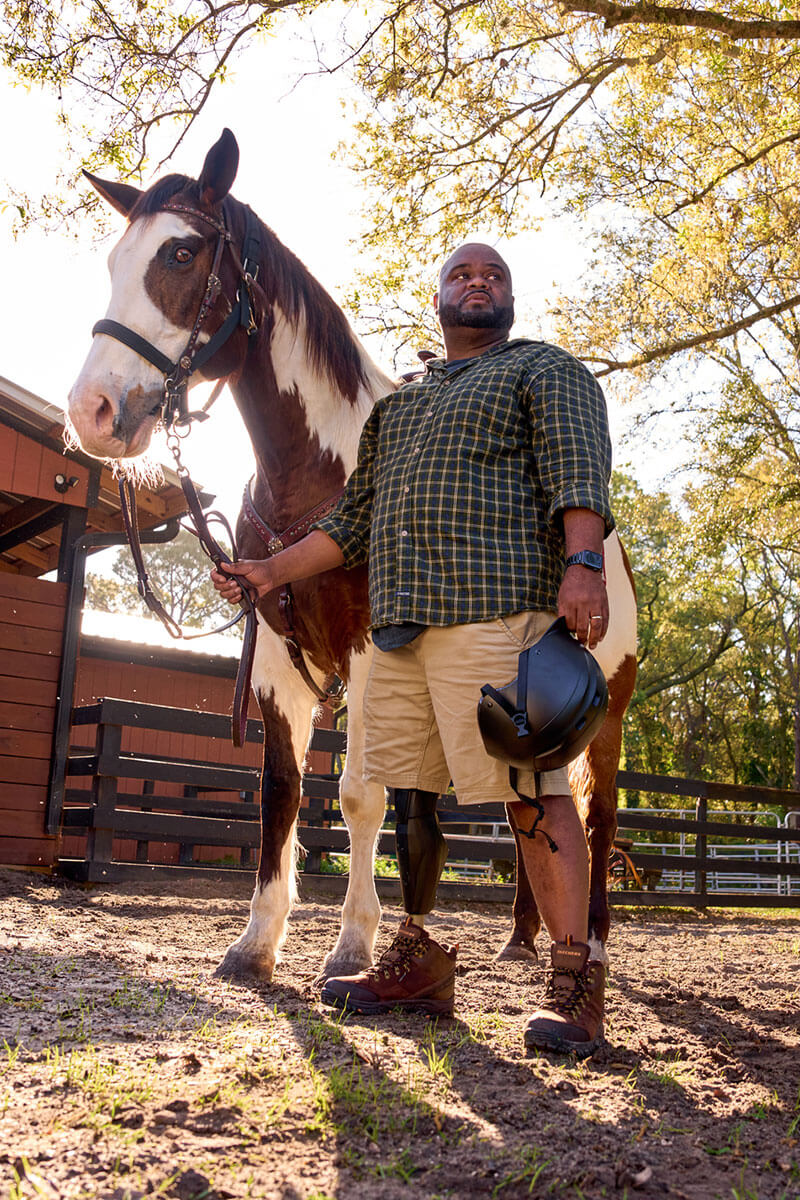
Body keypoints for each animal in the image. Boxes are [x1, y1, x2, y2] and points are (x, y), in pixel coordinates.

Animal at [65, 126, 633, 979]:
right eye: (111, 263)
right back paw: (522, 938)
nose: (93, 411)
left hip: (607, 716)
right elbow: (280, 791)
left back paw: (589, 940)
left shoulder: (371, 659)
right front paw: (256, 943)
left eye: (181, 253)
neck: (320, 481)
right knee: (525, 805)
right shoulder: (274, 661)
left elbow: (362, 796)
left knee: (595, 819)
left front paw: (353, 946)